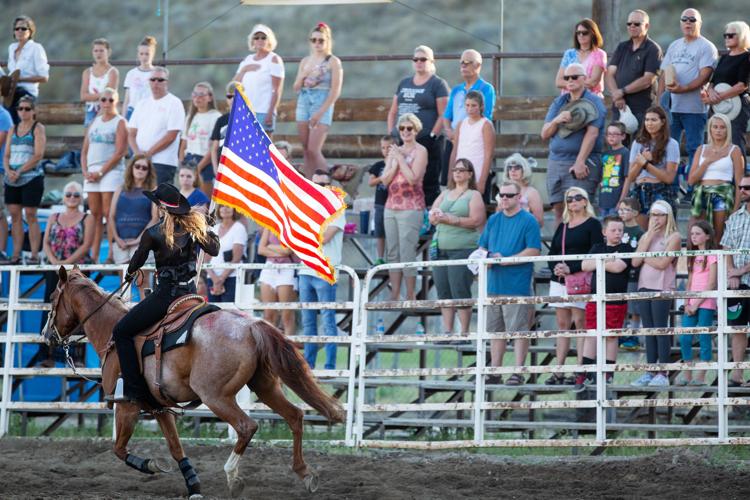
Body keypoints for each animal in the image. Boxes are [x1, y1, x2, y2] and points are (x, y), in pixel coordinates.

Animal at [41, 266, 346, 496]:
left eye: (54, 296)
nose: (47, 335)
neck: (112, 333)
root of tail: (250, 325)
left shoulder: (127, 405)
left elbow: (118, 449)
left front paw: (151, 465)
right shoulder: (159, 407)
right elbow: (176, 448)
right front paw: (193, 484)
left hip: (216, 396)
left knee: (247, 426)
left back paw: (233, 477)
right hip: (265, 386)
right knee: (295, 416)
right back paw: (305, 474)